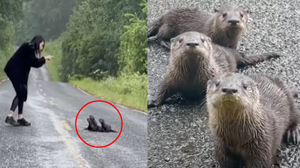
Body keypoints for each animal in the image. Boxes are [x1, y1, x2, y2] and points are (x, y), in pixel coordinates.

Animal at [148, 31, 282, 107]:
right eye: (180, 40)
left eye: (202, 40)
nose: (192, 43)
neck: (191, 80)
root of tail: (232, 52)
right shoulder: (171, 76)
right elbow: (163, 88)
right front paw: (152, 101)